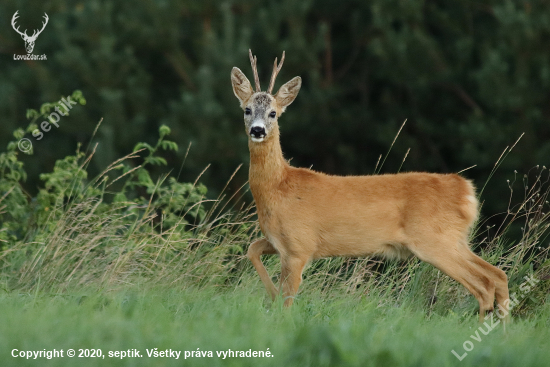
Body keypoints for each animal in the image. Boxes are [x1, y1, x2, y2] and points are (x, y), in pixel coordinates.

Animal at [231, 49, 512, 322]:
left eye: (273, 113)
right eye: (246, 110)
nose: (257, 130)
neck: (279, 188)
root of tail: (466, 191)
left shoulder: (299, 245)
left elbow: (287, 301)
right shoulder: (279, 242)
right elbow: (252, 250)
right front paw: (270, 295)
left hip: (435, 240)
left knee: (484, 285)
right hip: (456, 239)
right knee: (498, 276)